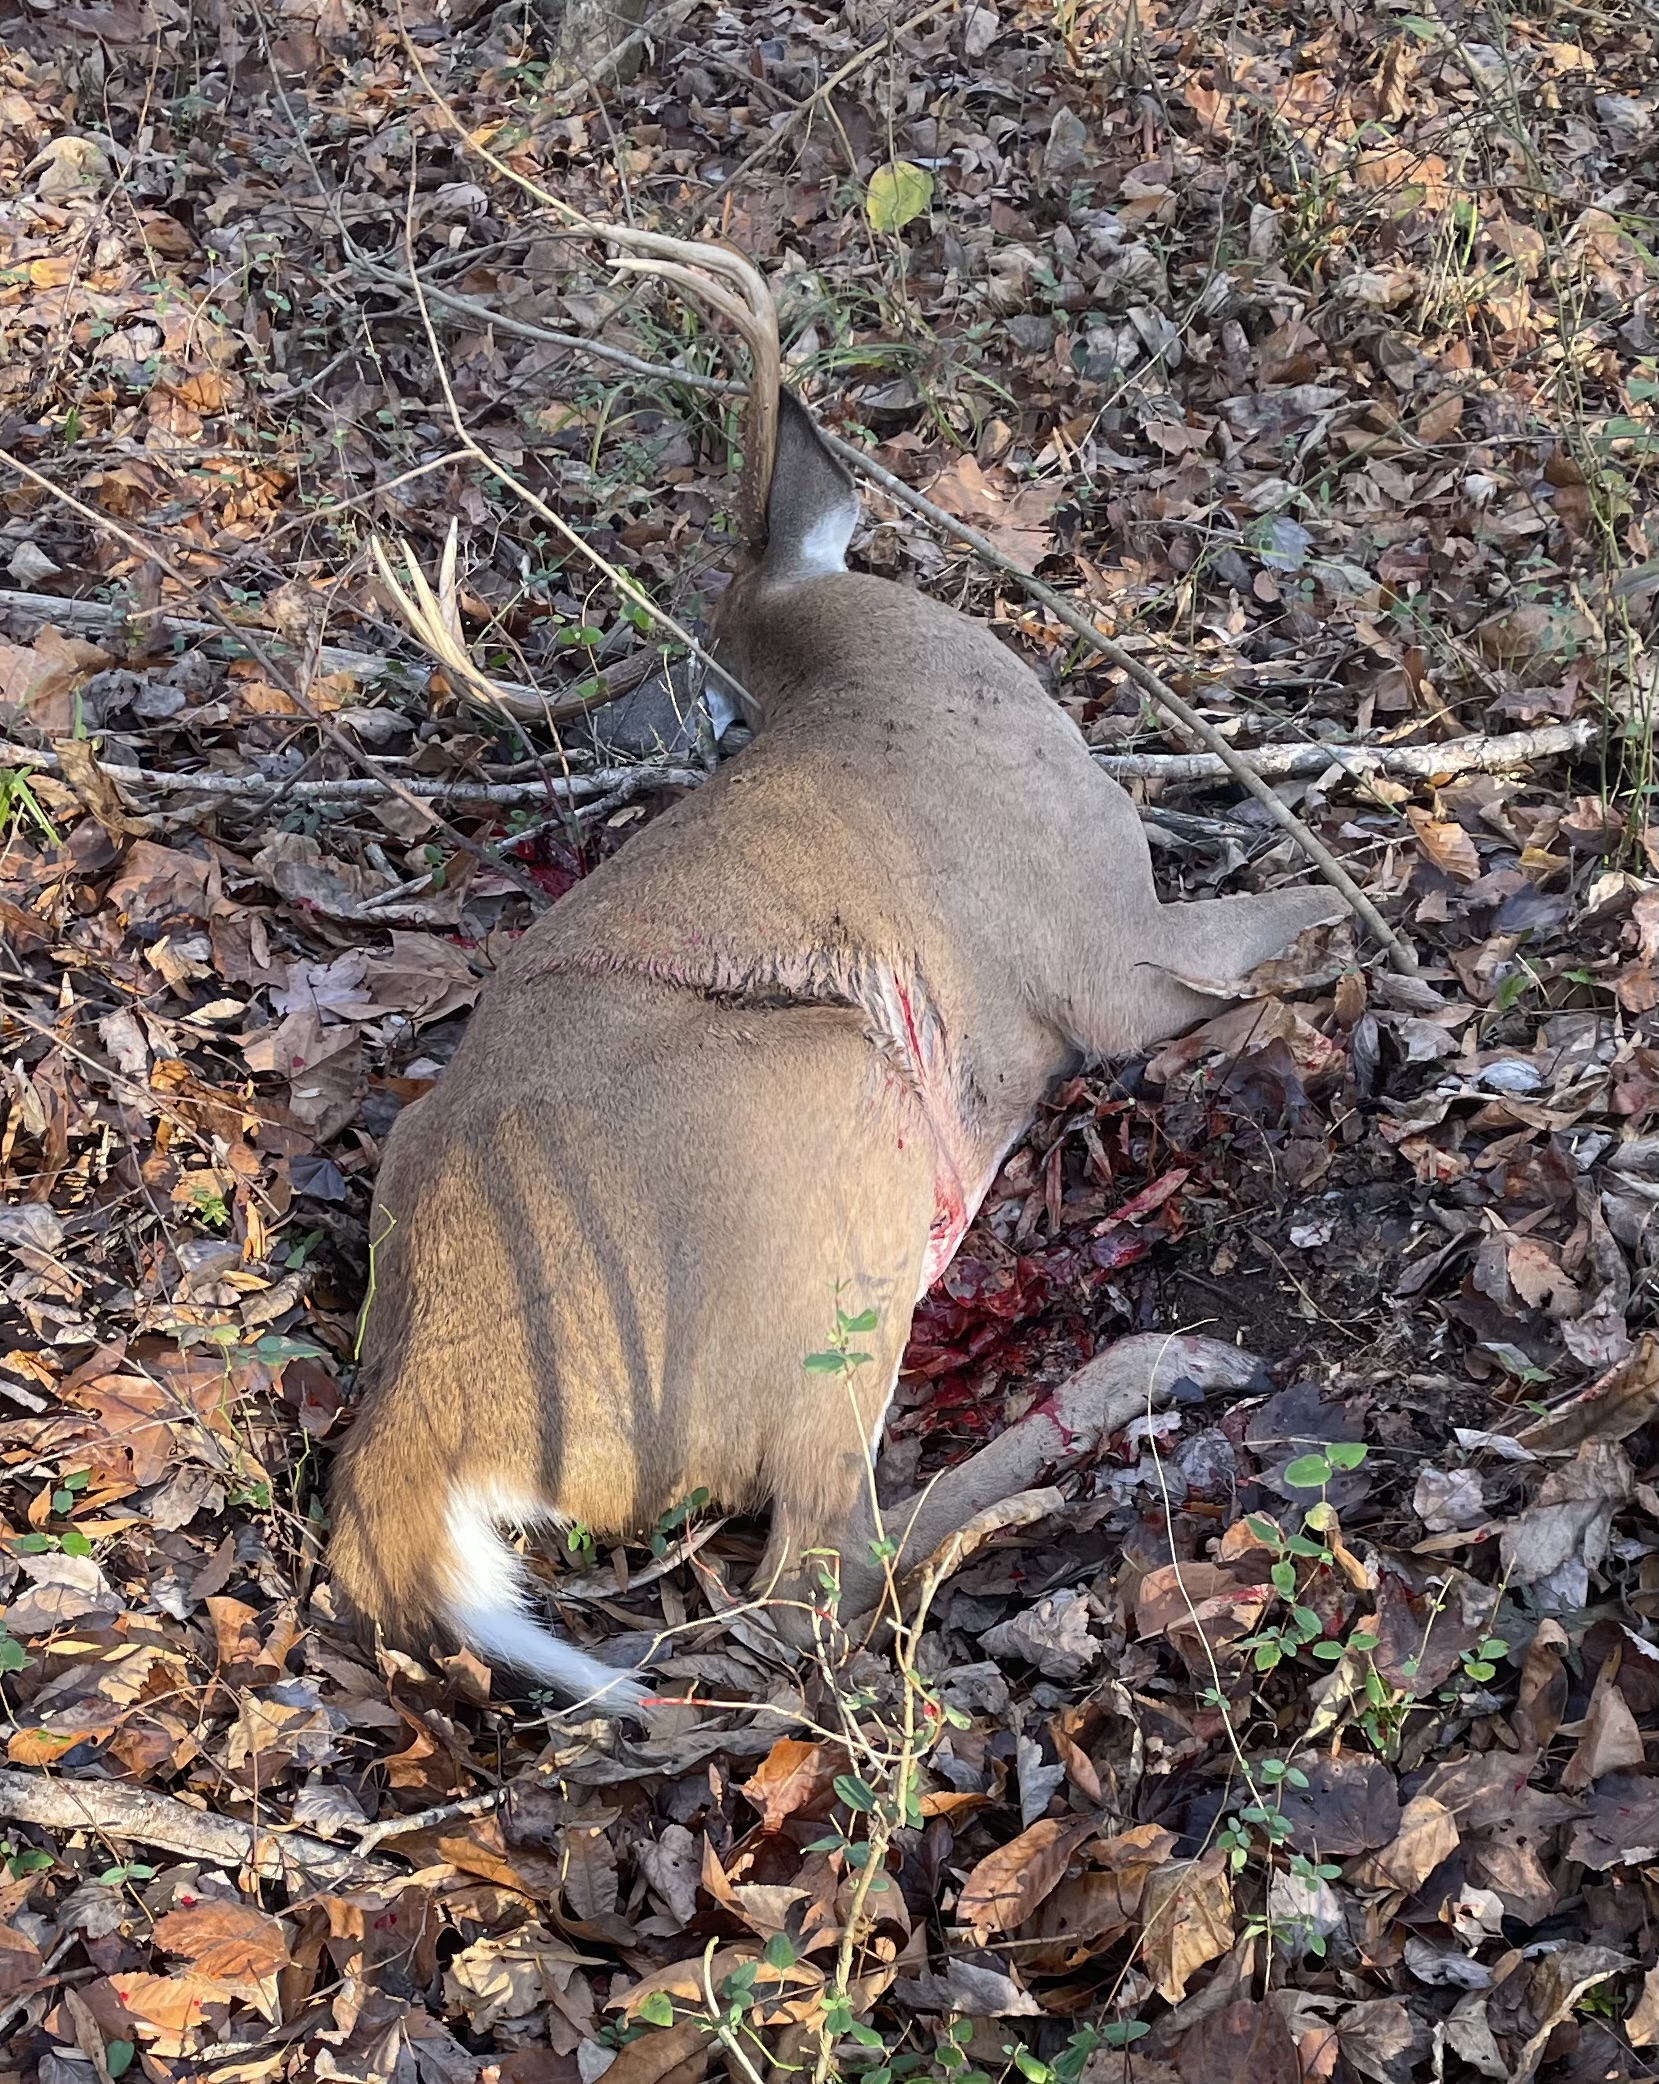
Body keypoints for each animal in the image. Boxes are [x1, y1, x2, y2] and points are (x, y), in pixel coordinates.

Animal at [326, 231, 1345, 1716]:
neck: (871, 671)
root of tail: (420, 1429)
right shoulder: (1103, 947)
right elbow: (1317, 900)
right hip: (829, 1121)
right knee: (814, 1567)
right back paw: (1154, 1375)